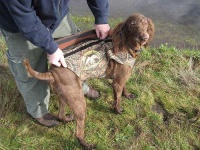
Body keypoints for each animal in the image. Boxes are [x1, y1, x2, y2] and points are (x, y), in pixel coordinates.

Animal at [23, 13, 155, 150]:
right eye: (132, 24)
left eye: (145, 23)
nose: (145, 37)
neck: (126, 44)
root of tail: (52, 72)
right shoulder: (117, 82)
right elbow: (117, 99)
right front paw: (118, 110)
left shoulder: (123, 78)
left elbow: (125, 88)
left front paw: (128, 95)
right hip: (79, 102)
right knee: (78, 132)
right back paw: (86, 144)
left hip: (64, 96)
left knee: (60, 115)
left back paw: (67, 119)